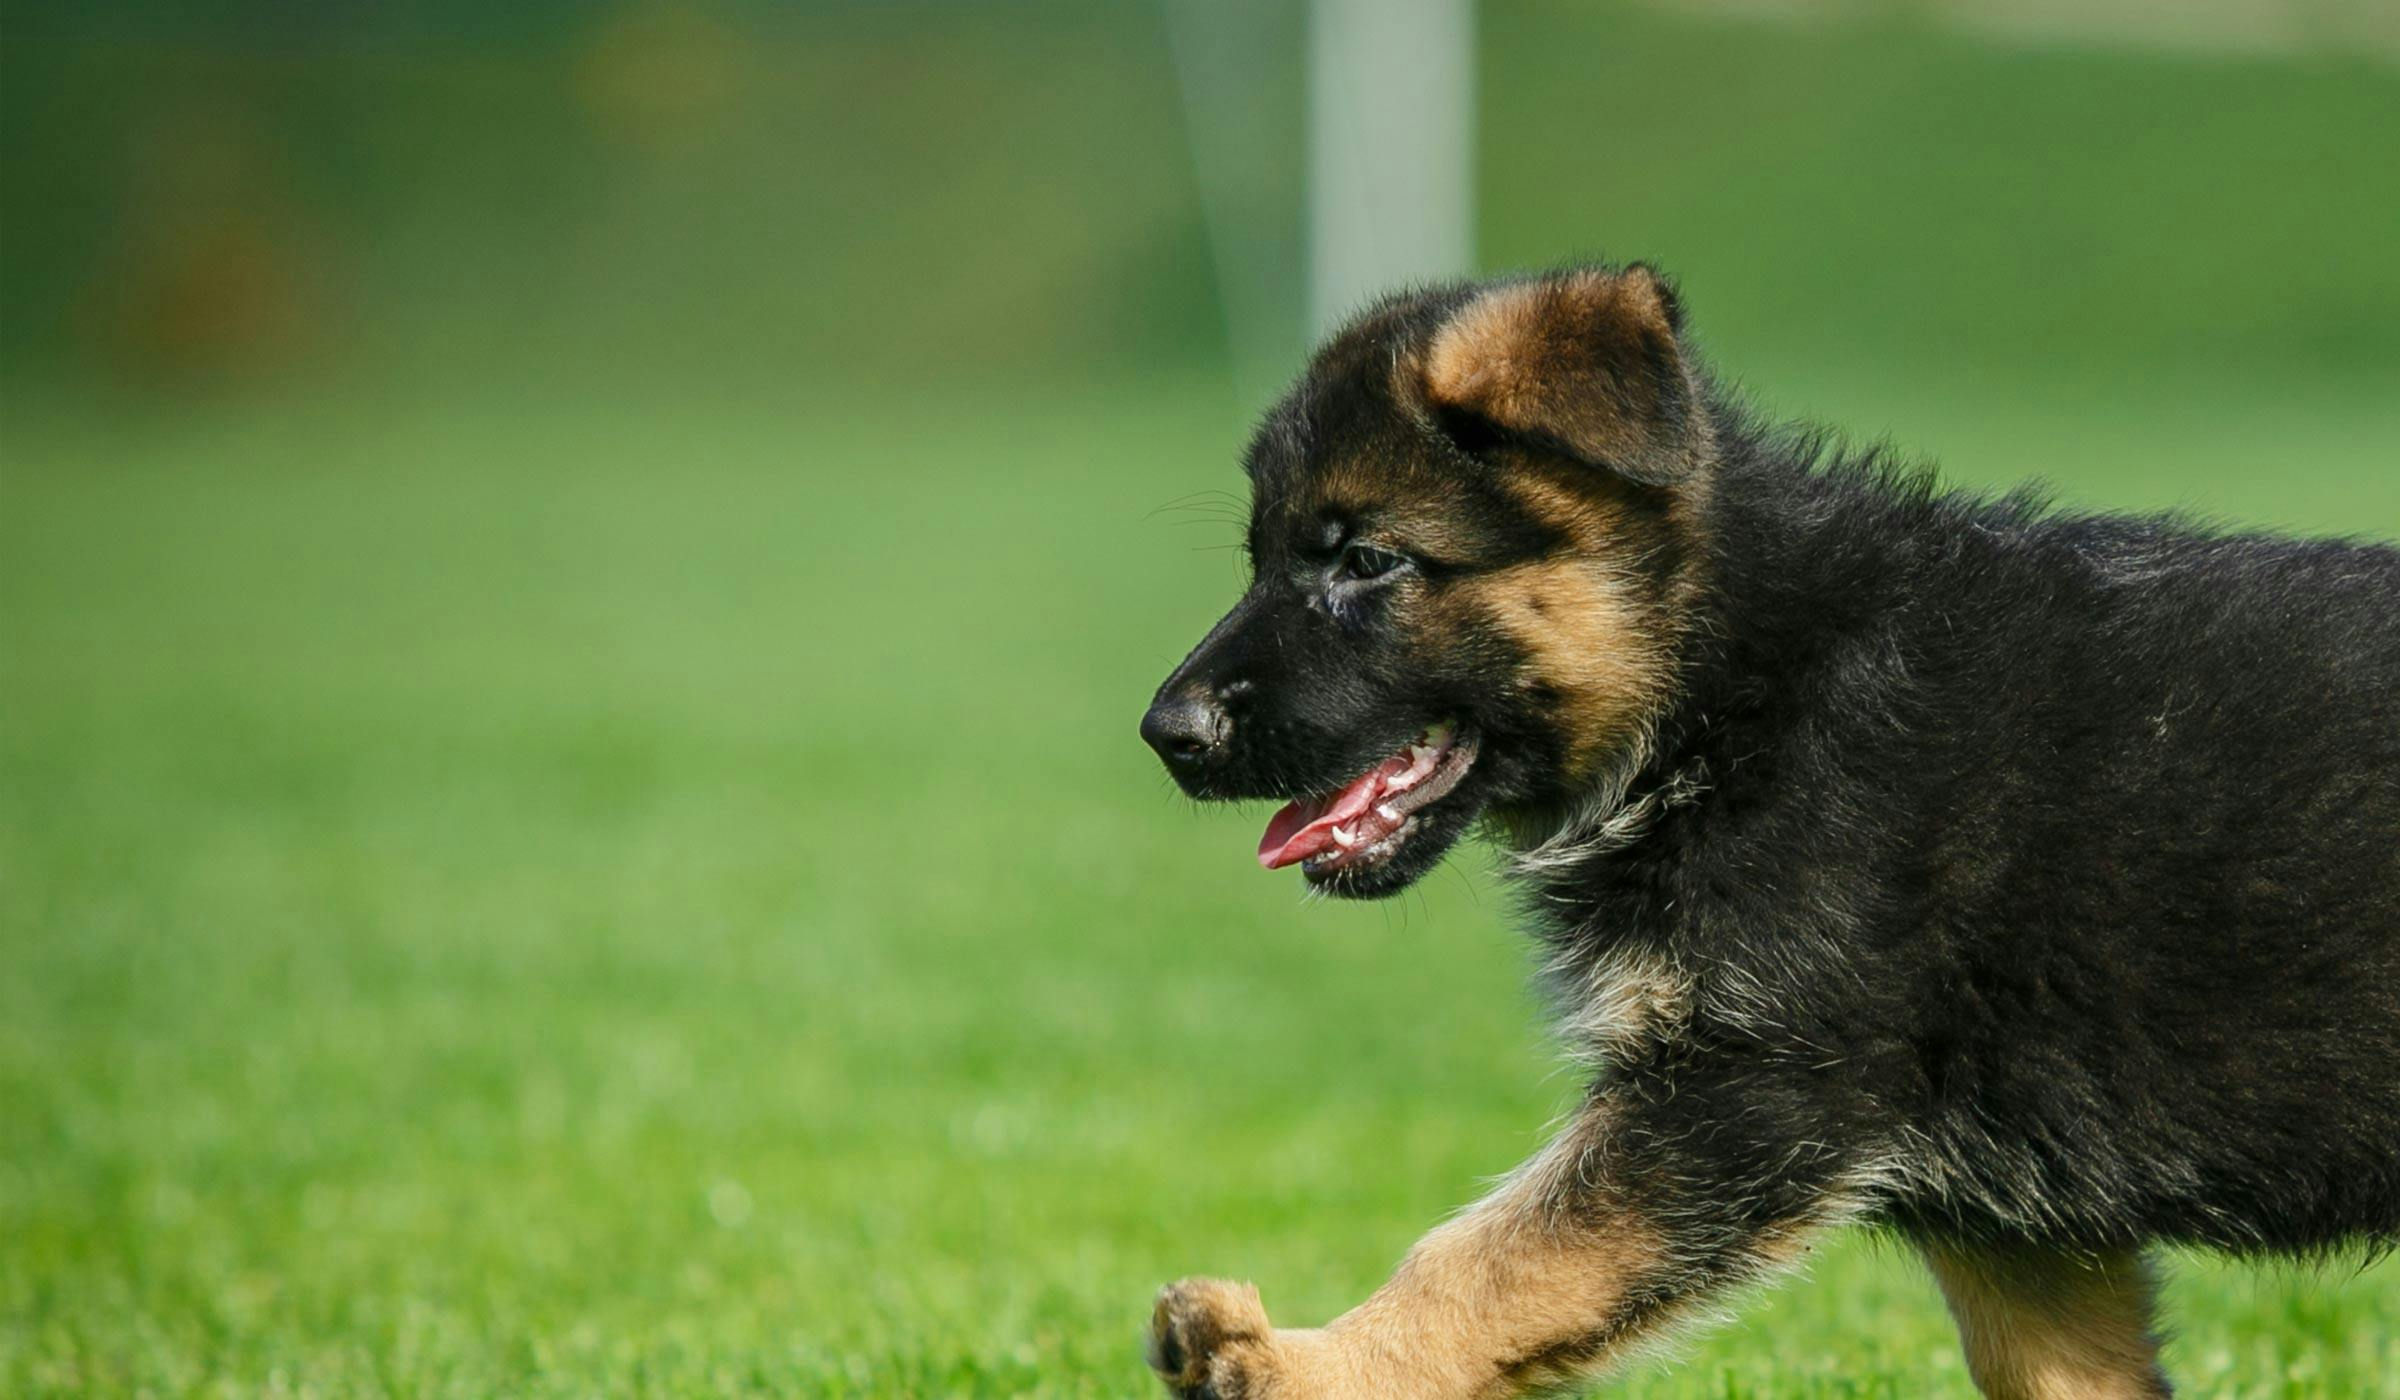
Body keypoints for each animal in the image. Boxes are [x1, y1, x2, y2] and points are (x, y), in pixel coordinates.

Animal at [1132, 265, 2390, 1400]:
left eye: (1367, 560)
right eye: (1262, 558)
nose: (1165, 732)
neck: (1727, 689)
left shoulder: (1748, 1089)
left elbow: (1484, 1260)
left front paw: (1295, 1364)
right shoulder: (2010, 1217)